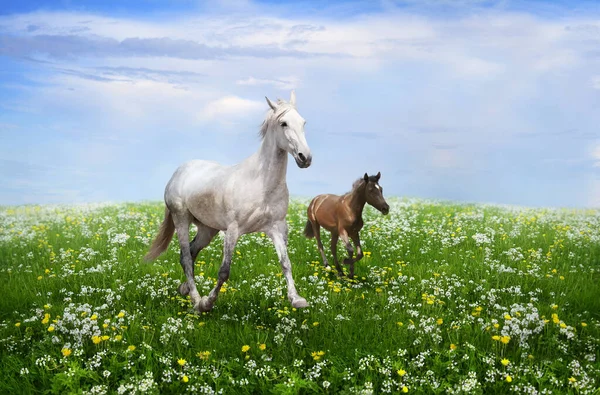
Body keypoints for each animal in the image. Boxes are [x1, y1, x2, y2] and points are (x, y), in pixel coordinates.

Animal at [145, 90, 312, 312]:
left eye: (303, 122)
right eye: (283, 123)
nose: (305, 158)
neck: (260, 183)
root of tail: (178, 173)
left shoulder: (276, 227)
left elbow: (286, 263)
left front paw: (297, 299)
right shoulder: (233, 230)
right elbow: (224, 271)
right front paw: (208, 302)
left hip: (207, 229)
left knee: (190, 251)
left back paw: (185, 290)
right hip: (181, 219)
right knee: (186, 257)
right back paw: (197, 301)